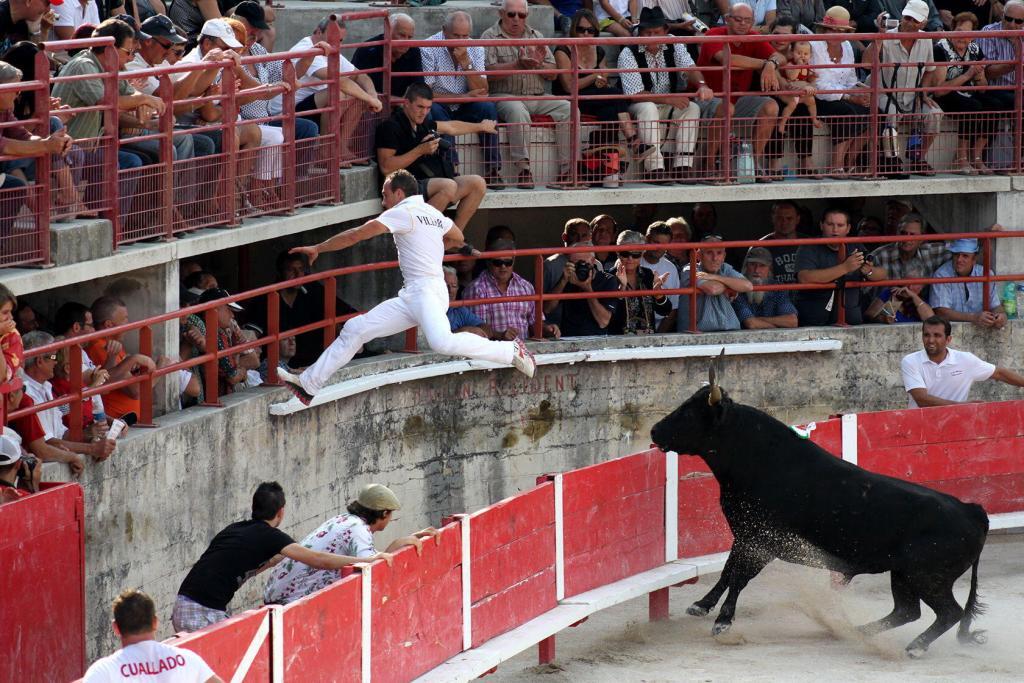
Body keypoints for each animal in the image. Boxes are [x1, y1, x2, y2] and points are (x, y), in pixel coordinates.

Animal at [651, 378, 987, 655]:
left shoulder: (762, 542)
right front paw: (701, 606)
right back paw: (855, 632)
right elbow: (727, 572)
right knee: (907, 611)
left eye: (689, 413)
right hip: (903, 574)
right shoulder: (746, 535)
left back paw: (913, 647)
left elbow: (739, 578)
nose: (654, 431)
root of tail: (972, 510)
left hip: (927, 576)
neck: (758, 458)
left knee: (949, 612)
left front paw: (722, 622)